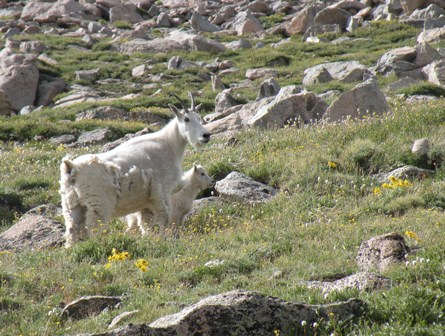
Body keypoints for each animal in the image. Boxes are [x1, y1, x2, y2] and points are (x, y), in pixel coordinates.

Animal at [59, 92, 210, 247]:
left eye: (199, 117)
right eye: (186, 119)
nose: (206, 135)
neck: (170, 145)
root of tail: (71, 168)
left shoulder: (145, 201)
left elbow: (146, 224)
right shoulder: (162, 191)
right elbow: (164, 219)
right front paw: (164, 241)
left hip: (72, 205)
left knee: (71, 230)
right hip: (98, 204)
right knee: (93, 229)